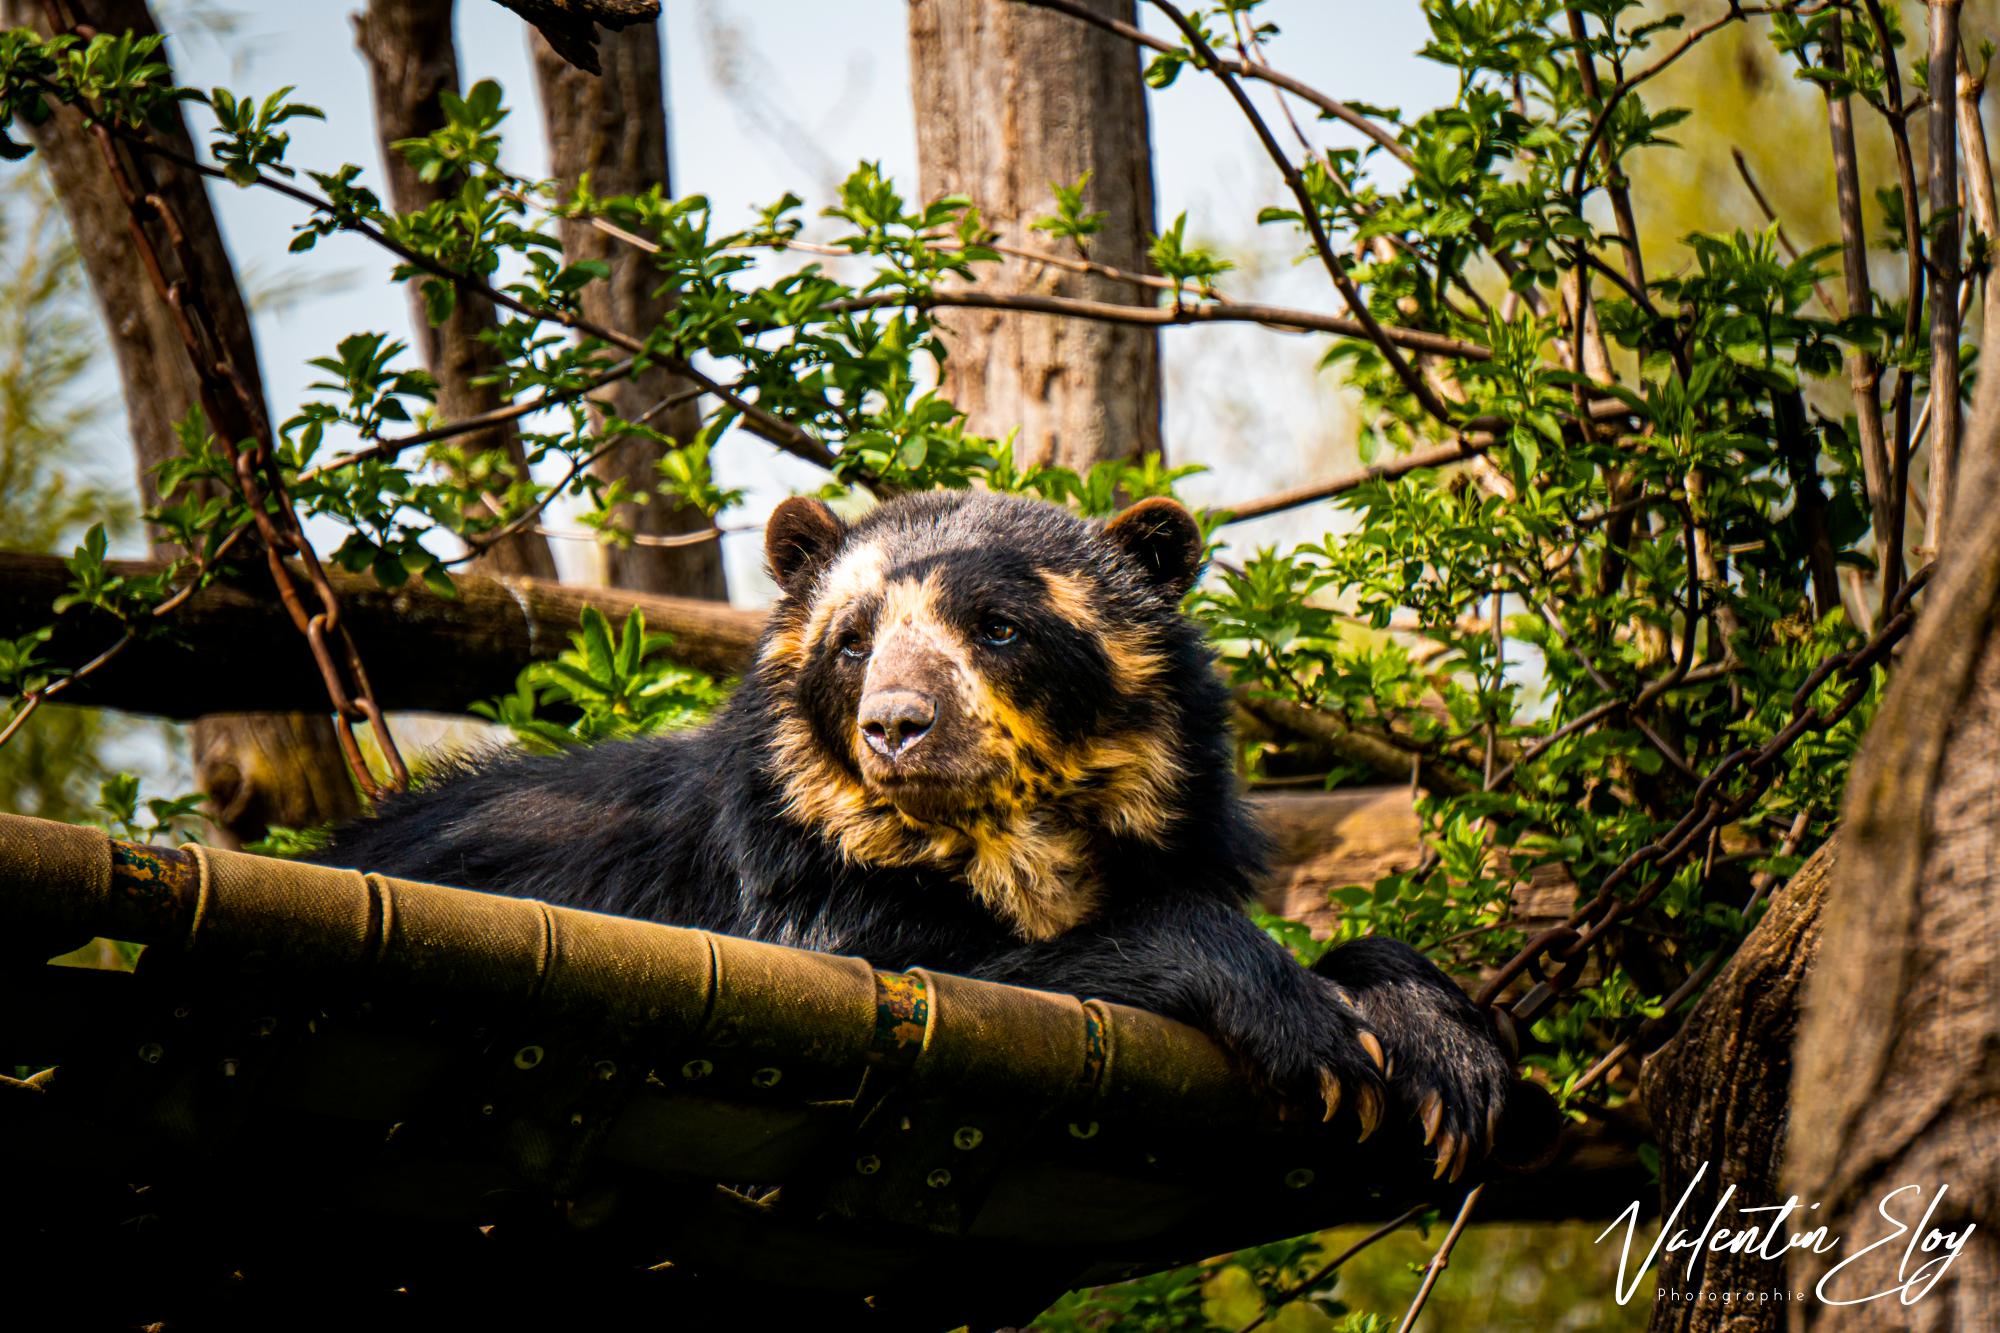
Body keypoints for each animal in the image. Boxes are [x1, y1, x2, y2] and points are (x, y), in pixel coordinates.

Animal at [320, 486, 1520, 1176]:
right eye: (852, 640)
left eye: (998, 628)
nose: (896, 725)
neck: (996, 843)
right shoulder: (793, 893)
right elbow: (950, 966)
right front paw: (1317, 1036)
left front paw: (1446, 1061)